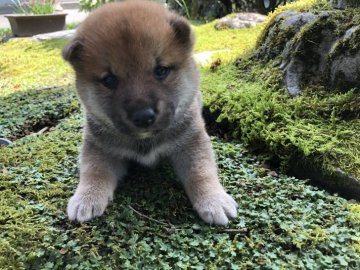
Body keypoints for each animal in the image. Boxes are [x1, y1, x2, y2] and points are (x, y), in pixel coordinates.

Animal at [62, 0, 236, 226]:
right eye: (109, 80)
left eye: (161, 70)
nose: (143, 116)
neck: (145, 140)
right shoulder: (100, 147)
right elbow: (94, 170)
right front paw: (86, 198)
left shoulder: (191, 141)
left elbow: (201, 171)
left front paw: (214, 199)